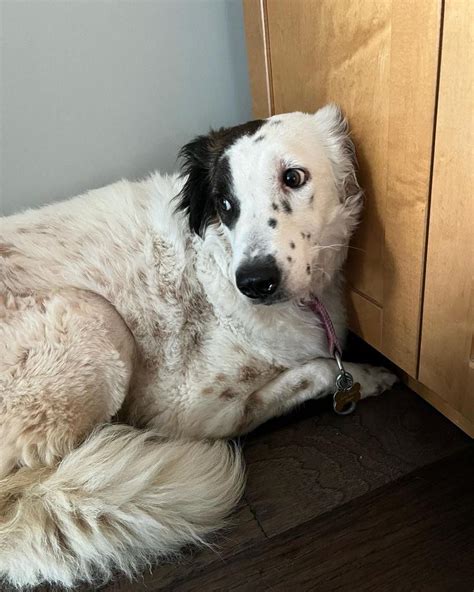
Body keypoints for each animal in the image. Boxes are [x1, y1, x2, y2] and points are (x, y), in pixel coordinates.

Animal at [0, 105, 396, 588]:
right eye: (226, 205)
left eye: (294, 178)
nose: (254, 282)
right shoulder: (189, 410)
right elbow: (318, 369)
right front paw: (365, 376)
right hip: (95, 319)